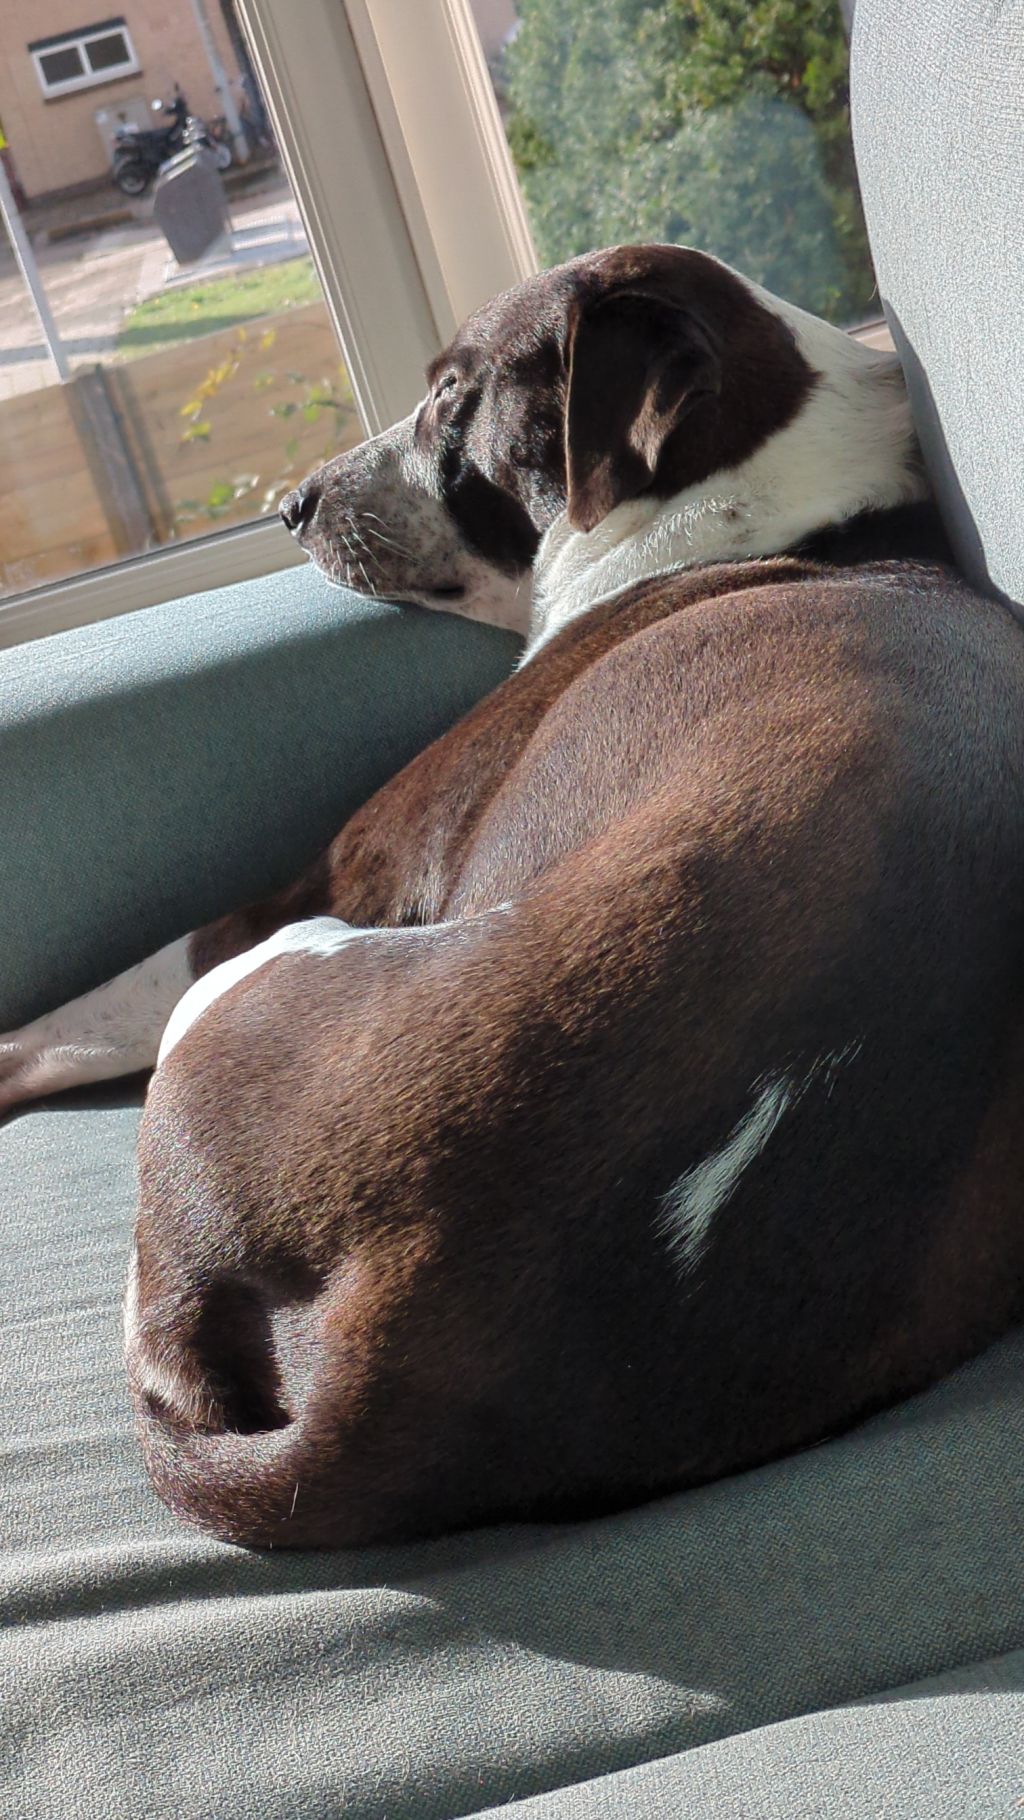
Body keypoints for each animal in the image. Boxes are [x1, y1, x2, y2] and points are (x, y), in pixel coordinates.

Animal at [4, 244, 1024, 1550]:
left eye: (452, 392)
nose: (292, 500)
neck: (746, 483)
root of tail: (393, 1373)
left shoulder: (314, 885)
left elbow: (64, 1016)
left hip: (271, 973)